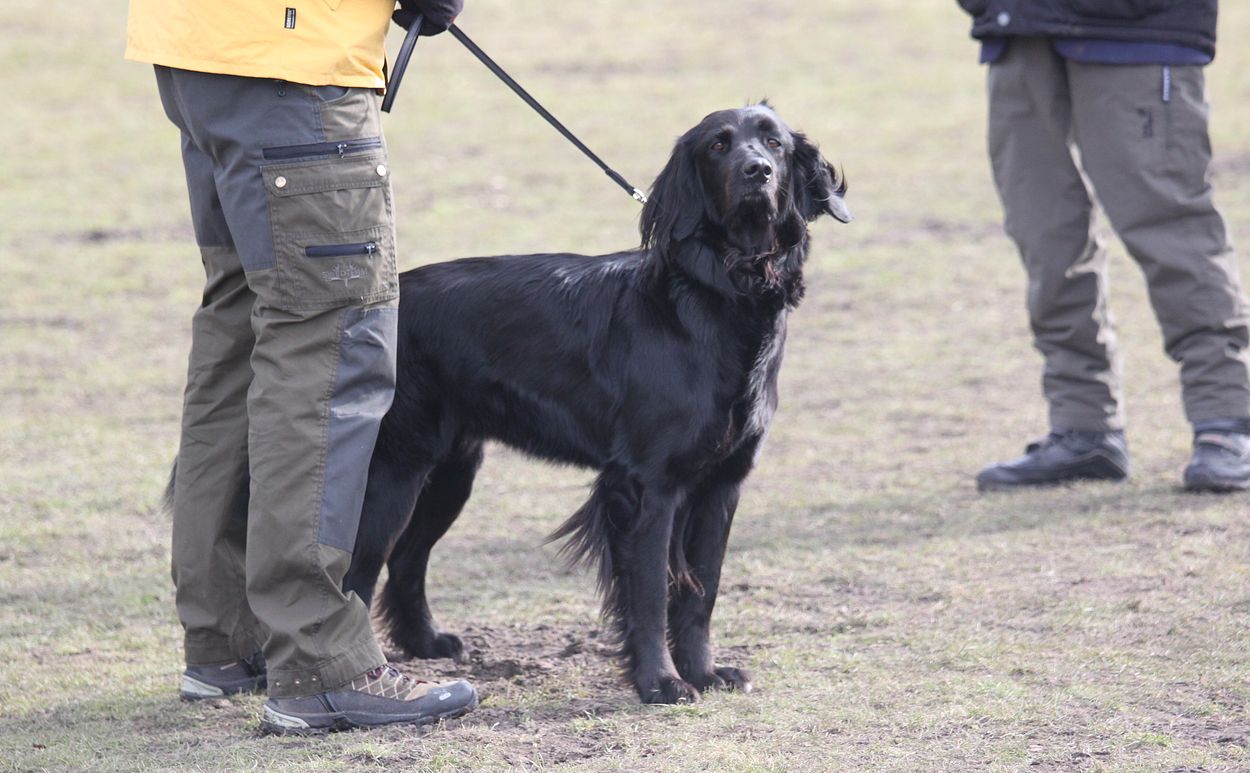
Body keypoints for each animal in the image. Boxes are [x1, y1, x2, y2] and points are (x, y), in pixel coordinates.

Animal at [343, 104, 852, 704]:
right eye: (718, 146)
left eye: (774, 144)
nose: (758, 172)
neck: (718, 296)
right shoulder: (647, 486)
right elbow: (651, 592)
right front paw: (661, 682)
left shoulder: (722, 484)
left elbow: (701, 593)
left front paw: (705, 672)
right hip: (394, 469)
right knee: (356, 571)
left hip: (448, 471)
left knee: (406, 557)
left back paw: (425, 642)